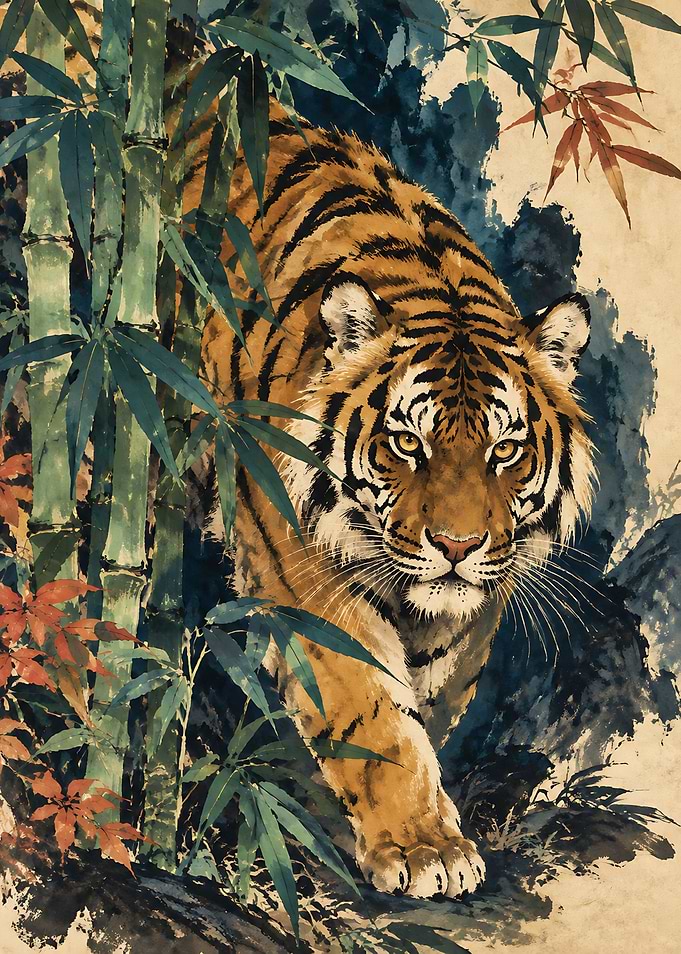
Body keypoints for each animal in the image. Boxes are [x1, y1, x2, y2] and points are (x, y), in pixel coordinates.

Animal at [191, 101, 597, 899]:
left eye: (505, 451)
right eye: (408, 443)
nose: (458, 547)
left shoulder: (469, 611)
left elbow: (424, 708)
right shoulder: (308, 578)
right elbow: (373, 713)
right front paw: (421, 849)